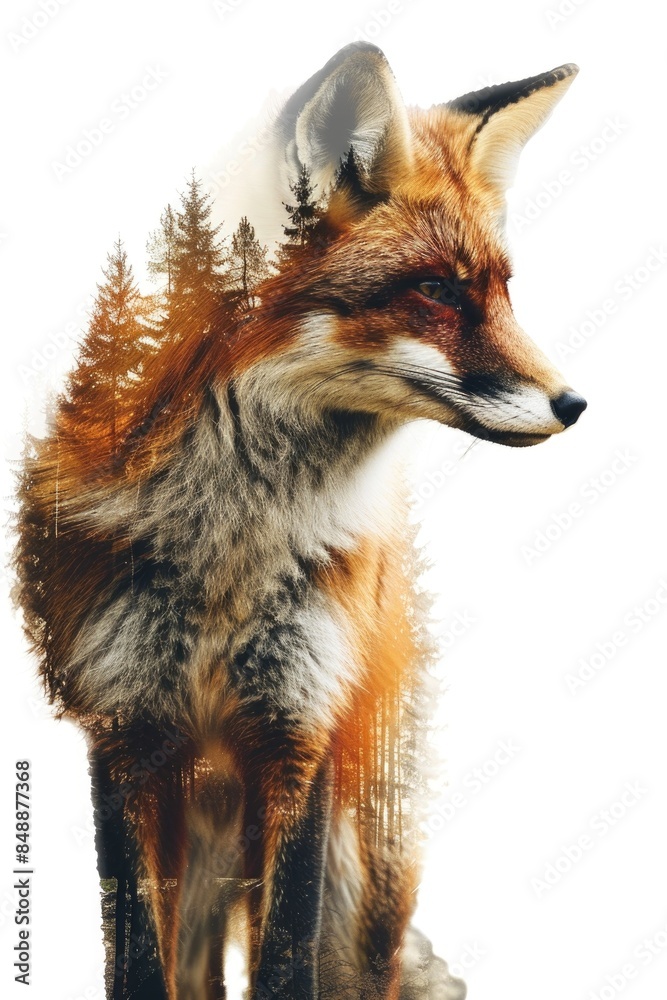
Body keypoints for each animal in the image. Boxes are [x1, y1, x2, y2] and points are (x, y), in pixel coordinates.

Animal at [15, 42, 586, 1000]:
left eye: (504, 290)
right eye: (436, 291)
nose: (574, 403)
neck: (230, 545)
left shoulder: (298, 728)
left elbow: (284, 956)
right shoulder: (123, 729)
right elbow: (138, 963)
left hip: (361, 866)